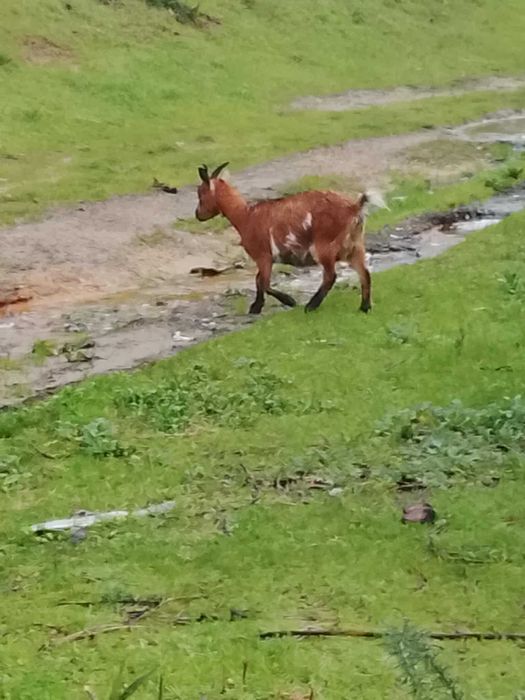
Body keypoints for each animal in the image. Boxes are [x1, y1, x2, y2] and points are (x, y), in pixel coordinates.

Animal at [195, 162, 376, 315]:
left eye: (200, 193)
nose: (198, 214)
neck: (245, 216)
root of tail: (354, 207)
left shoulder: (263, 255)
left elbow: (264, 283)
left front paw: (288, 301)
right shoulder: (266, 258)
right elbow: (258, 280)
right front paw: (257, 307)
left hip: (324, 245)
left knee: (330, 276)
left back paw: (311, 306)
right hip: (355, 245)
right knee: (364, 274)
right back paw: (364, 307)